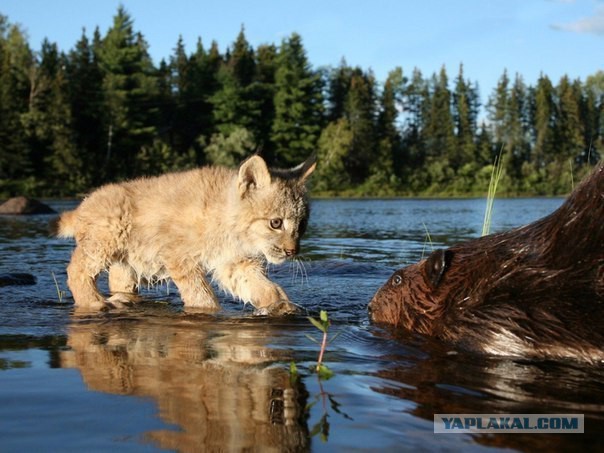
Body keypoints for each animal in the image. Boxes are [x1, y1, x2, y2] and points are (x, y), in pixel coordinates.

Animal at [57, 154, 316, 312]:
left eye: (302, 224)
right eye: (276, 223)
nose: (292, 251)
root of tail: (84, 202)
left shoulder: (233, 262)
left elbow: (260, 286)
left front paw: (279, 304)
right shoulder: (179, 256)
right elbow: (200, 295)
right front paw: (209, 311)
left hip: (126, 261)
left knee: (118, 281)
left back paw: (122, 300)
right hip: (106, 239)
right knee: (75, 269)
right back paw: (95, 303)